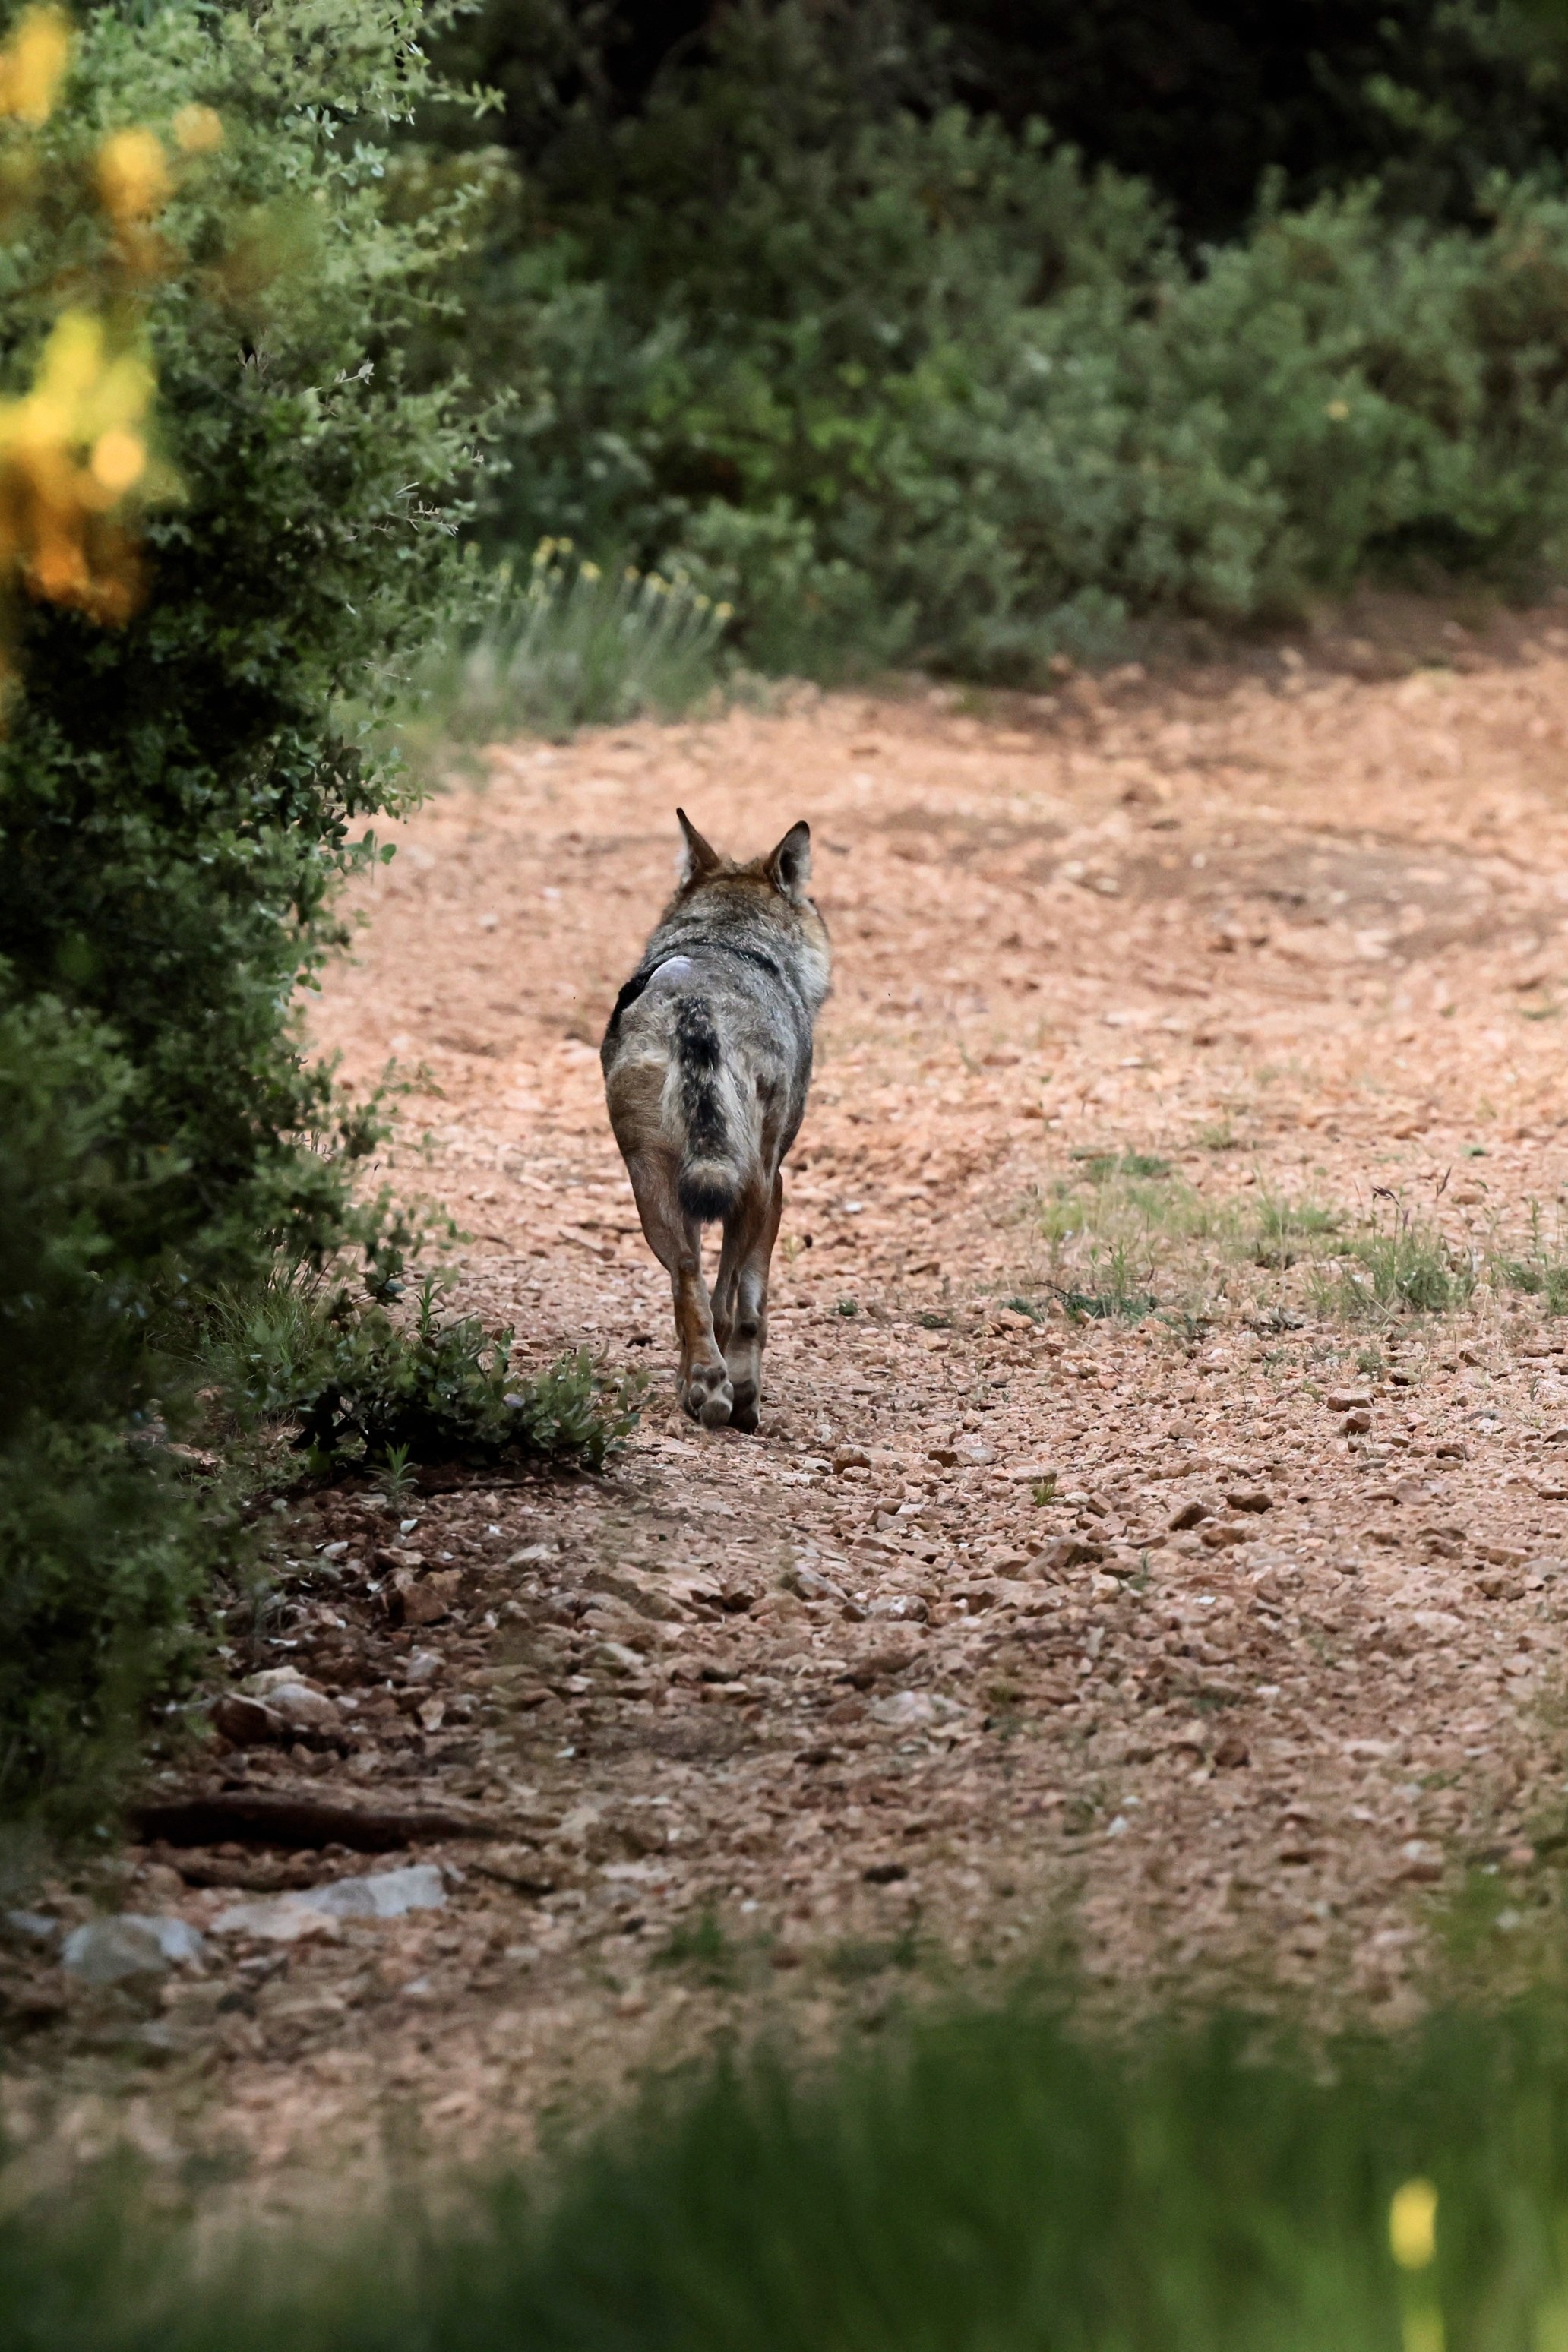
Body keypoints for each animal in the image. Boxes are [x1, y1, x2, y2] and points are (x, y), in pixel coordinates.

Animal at [601, 809, 831, 1433]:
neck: (727, 939)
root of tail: (694, 1003)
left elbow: (699, 1295)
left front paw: (694, 1384)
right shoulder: (776, 1183)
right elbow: (747, 1303)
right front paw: (742, 1392)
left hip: (652, 1184)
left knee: (686, 1280)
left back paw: (704, 1383)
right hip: (751, 1183)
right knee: (730, 1305)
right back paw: (734, 1395)